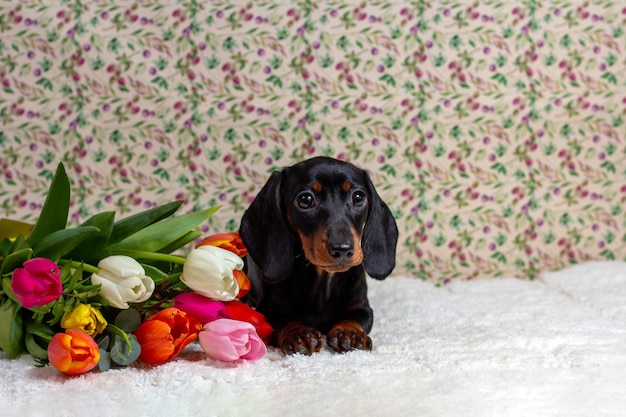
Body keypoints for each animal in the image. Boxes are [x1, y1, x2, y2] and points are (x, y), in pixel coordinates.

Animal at [238, 157, 394, 354]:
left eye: (358, 197)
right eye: (305, 199)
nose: (343, 249)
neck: (323, 281)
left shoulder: (363, 307)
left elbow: (355, 317)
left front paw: (350, 332)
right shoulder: (267, 310)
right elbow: (284, 321)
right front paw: (299, 334)